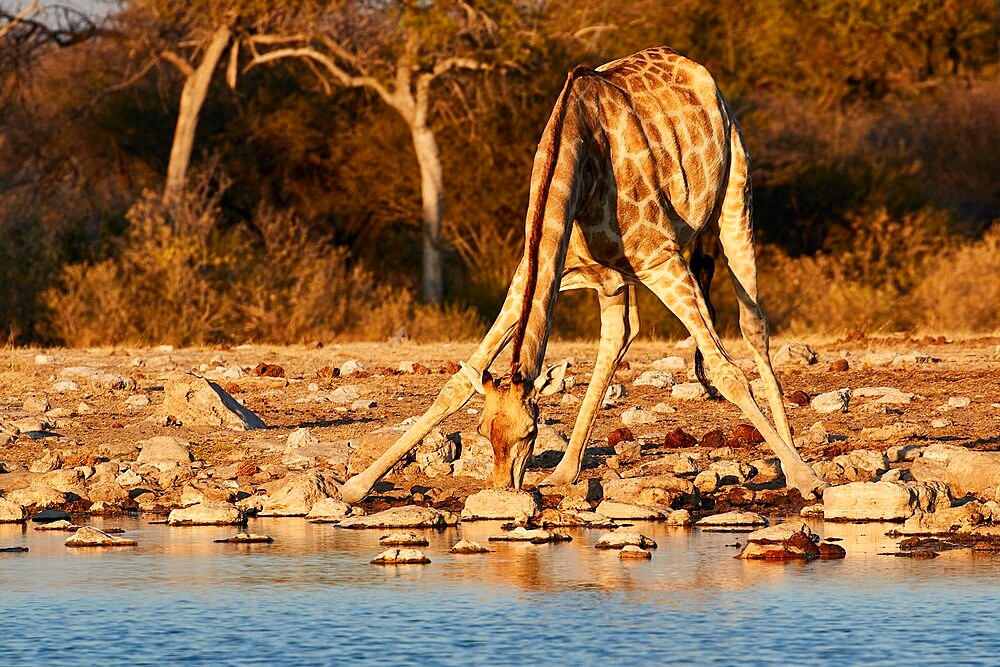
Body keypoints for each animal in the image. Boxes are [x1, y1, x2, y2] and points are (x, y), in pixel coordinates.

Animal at [340, 47, 824, 504]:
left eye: (530, 433)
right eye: (482, 432)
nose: (503, 489)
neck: (577, 163)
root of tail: (699, 72)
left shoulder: (662, 260)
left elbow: (728, 373)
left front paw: (807, 478)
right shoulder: (538, 272)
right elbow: (458, 382)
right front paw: (355, 486)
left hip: (735, 197)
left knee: (753, 323)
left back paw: (794, 459)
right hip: (616, 277)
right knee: (619, 334)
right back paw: (564, 472)